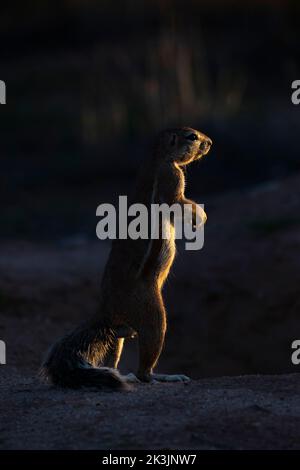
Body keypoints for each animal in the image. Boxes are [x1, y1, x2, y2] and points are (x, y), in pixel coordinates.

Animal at [41, 126, 212, 388]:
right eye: (192, 137)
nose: (210, 143)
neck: (157, 155)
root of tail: (106, 311)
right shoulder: (171, 179)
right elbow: (180, 203)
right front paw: (200, 218)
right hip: (153, 315)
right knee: (145, 369)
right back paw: (161, 377)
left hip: (119, 336)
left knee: (115, 354)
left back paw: (123, 374)